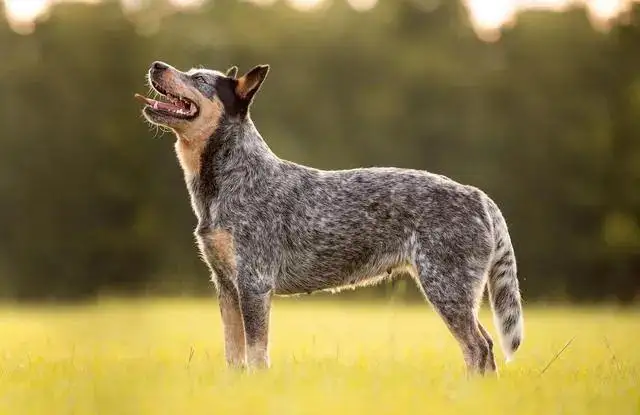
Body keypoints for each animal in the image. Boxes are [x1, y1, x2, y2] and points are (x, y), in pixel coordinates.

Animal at [135, 61, 524, 376]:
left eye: (199, 79)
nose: (156, 65)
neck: (230, 177)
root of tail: (478, 196)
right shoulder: (226, 286)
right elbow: (234, 353)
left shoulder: (254, 283)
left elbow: (257, 352)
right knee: (484, 346)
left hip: (446, 287)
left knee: (478, 347)